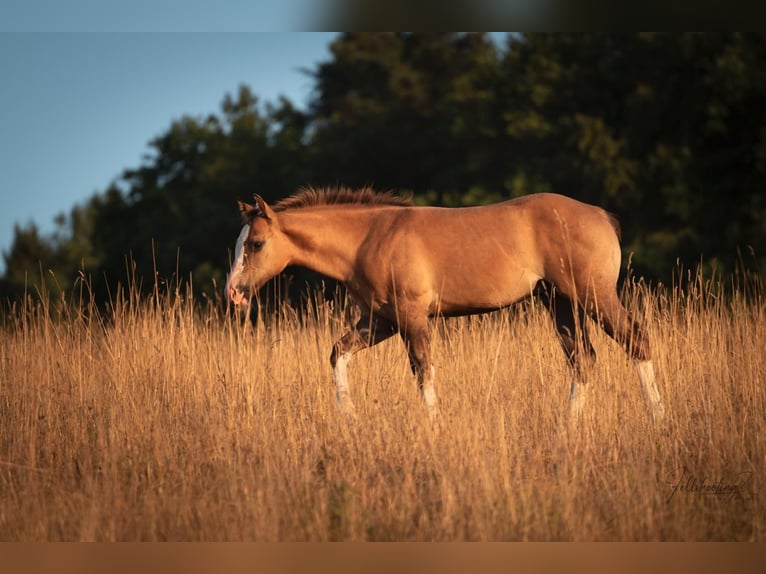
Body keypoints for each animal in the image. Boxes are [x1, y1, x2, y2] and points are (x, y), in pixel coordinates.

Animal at [225, 186, 664, 424]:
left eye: (256, 243)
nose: (234, 294)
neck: (369, 237)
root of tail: (602, 216)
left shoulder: (412, 316)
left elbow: (423, 371)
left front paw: (434, 427)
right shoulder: (380, 321)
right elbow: (338, 353)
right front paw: (350, 419)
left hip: (593, 294)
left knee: (636, 340)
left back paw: (658, 419)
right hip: (559, 301)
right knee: (583, 359)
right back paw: (567, 428)